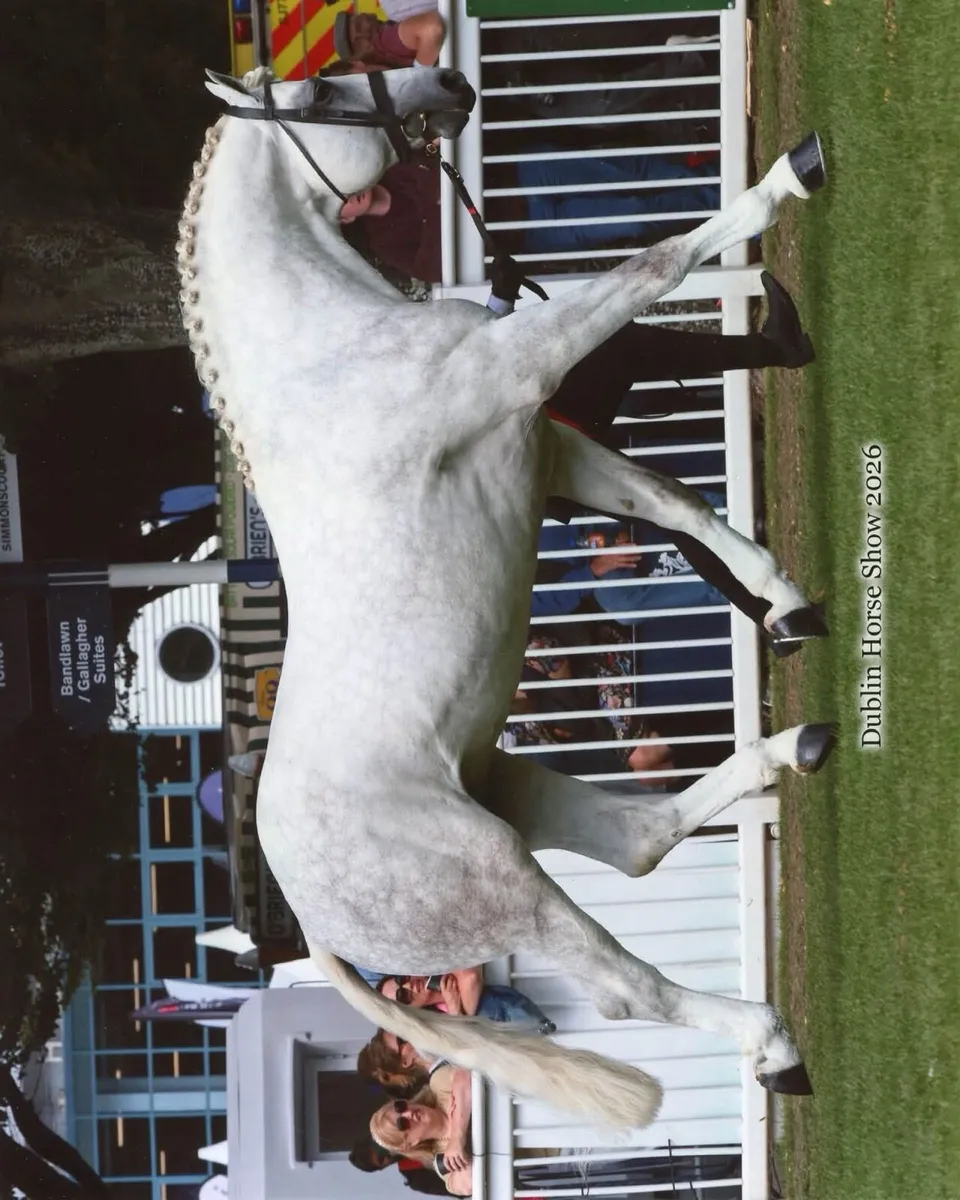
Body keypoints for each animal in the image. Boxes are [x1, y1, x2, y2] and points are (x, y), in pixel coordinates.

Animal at [186, 64, 833, 1130]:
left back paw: (799, 747)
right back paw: (771, 1044)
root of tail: (314, 932)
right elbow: (658, 260)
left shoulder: (545, 449)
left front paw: (788, 607)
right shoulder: (527, 374)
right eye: (320, 88)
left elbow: (682, 503)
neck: (333, 357)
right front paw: (791, 175)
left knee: (641, 841)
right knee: (624, 986)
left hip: (509, 794)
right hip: (498, 876)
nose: (449, 82)